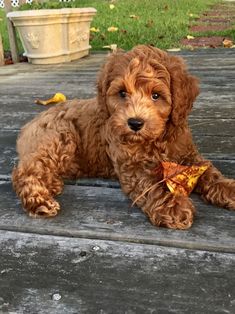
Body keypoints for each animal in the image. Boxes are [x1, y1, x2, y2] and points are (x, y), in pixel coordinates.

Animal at [11, 45, 235, 229]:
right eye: (121, 93)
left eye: (156, 96)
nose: (135, 123)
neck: (154, 140)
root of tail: (32, 123)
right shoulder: (131, 167)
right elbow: (150, 186)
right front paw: (172, 207)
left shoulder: (187, 153)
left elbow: (208, 171)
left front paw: (228, 188)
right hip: (59, 137)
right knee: (24, 172)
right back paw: (39, 200)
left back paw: (52, 184)